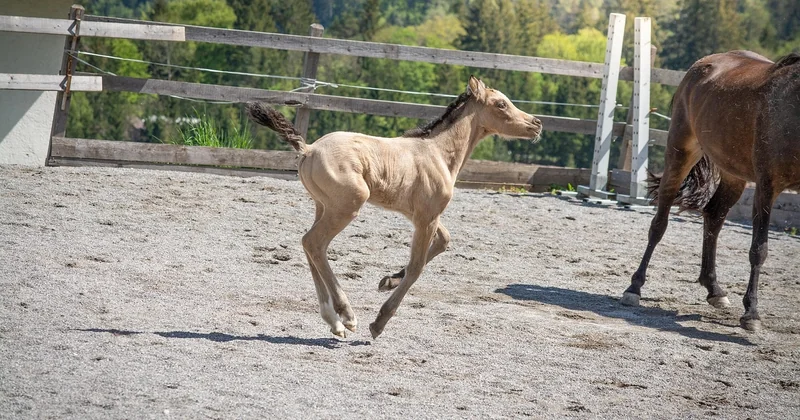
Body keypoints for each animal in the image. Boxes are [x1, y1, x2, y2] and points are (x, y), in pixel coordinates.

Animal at [247, 76, 542, 338]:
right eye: (501, 104)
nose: (536, 124)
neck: (438, 153)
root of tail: (308, 149)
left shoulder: (422, 215)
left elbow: (444, 241)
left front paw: (387, 280)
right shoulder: (426, 218)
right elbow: (416, 267)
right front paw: (379, 322)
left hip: (323, 206)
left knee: (309, 246)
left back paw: (334, 322)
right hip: (348, 206)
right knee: (314, 243)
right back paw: (347, 315)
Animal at [621, 51, 800, 331]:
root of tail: (704, 62)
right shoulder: (767, 186)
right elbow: (758, 249)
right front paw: (752, 313)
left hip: (733, 173)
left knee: (714, 215)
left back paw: (714, 289)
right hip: (681, 153)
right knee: (659, 224)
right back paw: (634, 287)